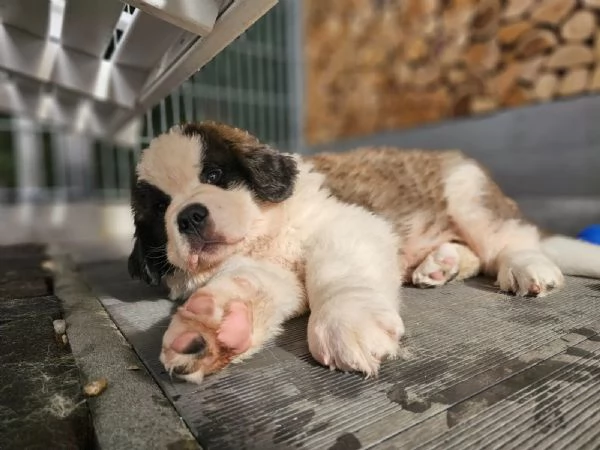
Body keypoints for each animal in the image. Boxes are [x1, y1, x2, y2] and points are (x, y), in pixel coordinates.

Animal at [129, 120, 600, 384]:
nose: (188, 216)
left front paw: (345, 321)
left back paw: (526, 267)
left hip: (468, 194)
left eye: (213, 174)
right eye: (160, 208)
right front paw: (209, 327)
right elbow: (250, 284)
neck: (265, 232)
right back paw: (441, 264)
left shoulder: (347, 222)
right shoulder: (266, 268)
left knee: (508, 242)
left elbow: (336, 268)